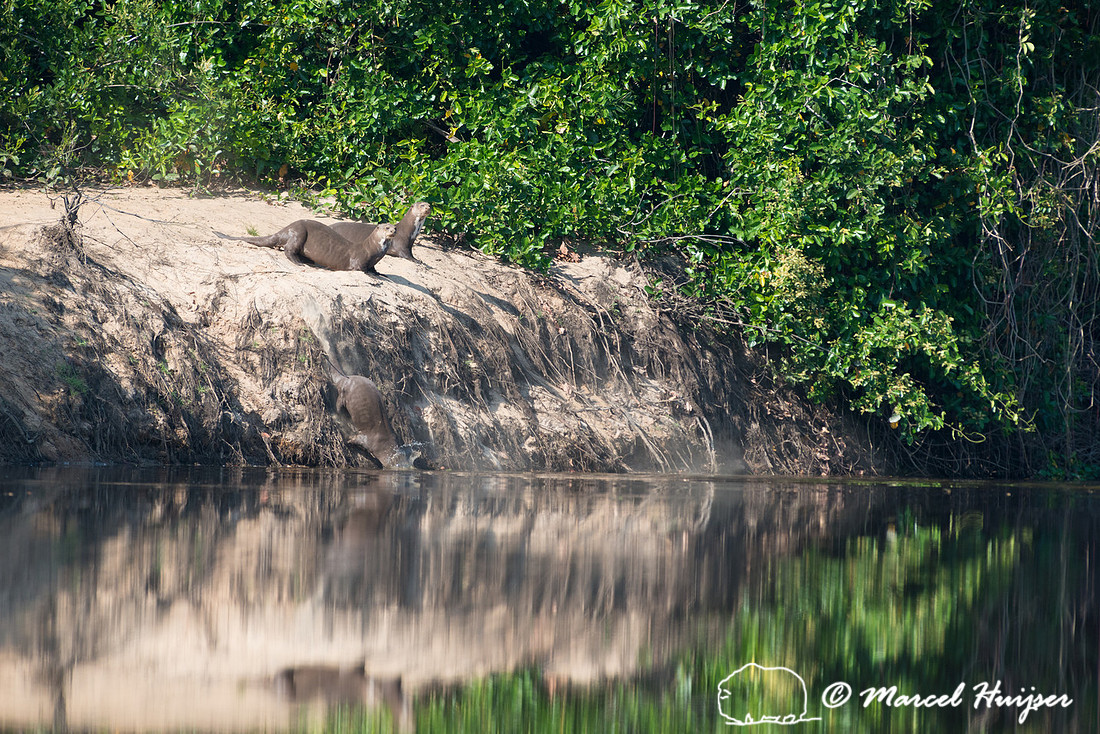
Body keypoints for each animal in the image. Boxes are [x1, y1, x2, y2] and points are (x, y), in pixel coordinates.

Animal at [215, 221, 397, 273]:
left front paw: (380, 274)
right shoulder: (358, 260)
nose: (394, 230)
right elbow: (360, 269)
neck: (373, 251)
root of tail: (286, 229)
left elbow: (374, 269)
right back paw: (299, 263)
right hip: (299, 232)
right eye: (387, 227)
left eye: (395, 226)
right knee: (288, 250)